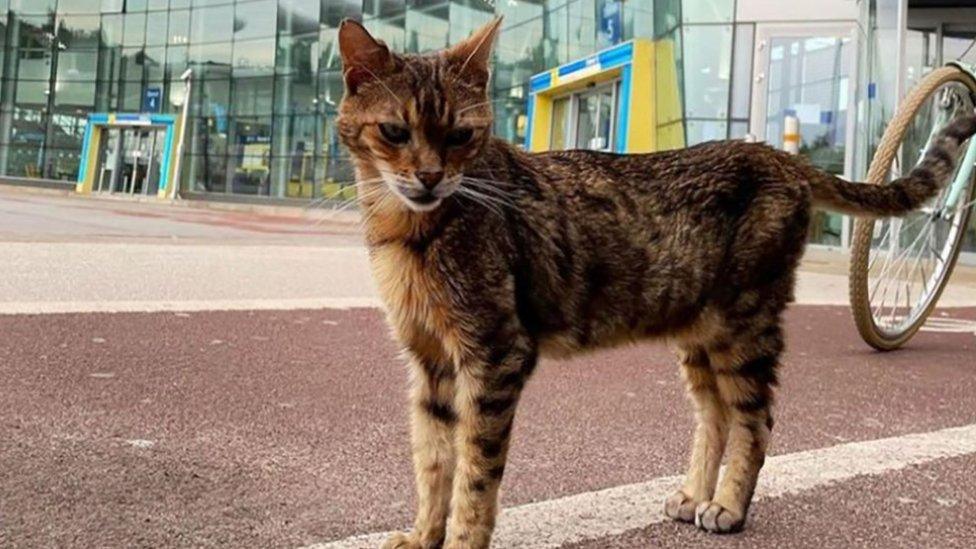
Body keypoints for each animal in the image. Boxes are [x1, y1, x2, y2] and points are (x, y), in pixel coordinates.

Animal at [338, 17, 976, 548]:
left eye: (460, 135)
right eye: (394, 131)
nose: (429, 177)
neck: (410, 232)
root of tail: (776, 155)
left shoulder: (495, 354)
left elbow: (474, 472)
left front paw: (460, 540)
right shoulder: (430, 362)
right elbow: (432, 460)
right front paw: (423, 535)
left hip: (745, 324)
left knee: (756, 418)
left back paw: (729, 507)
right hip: (700, 334)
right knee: (715, 415)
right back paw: (696, 494)